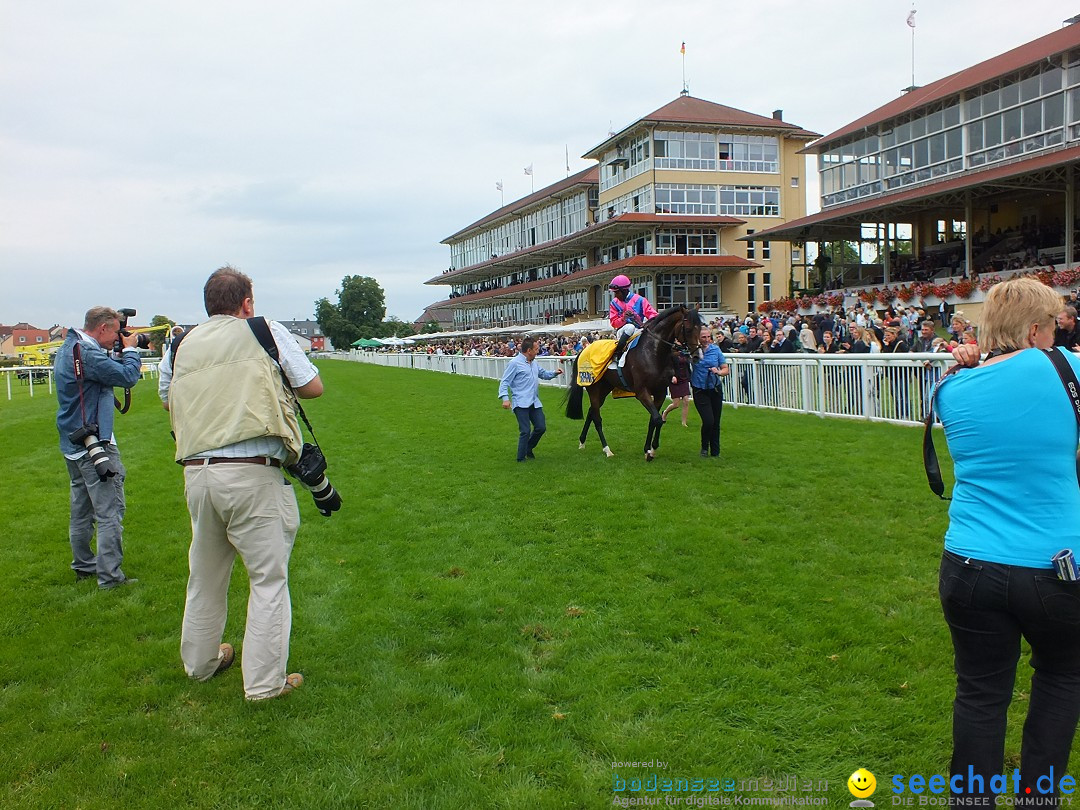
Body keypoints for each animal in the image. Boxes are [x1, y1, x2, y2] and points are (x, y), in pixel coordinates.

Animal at [565, 306, 708, 462]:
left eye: (701, 328)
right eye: (688, 329)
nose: (697, 356)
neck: (653, 353)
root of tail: (584, 350)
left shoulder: (660, 392)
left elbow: (654, 419)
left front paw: (650, 449)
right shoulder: (642, 392)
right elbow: (658, 419)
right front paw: (650, 451)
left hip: (604, 389)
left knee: (591, 412)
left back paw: (582, 442)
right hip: (594, 388)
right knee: (597, 418)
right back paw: (607, 450)